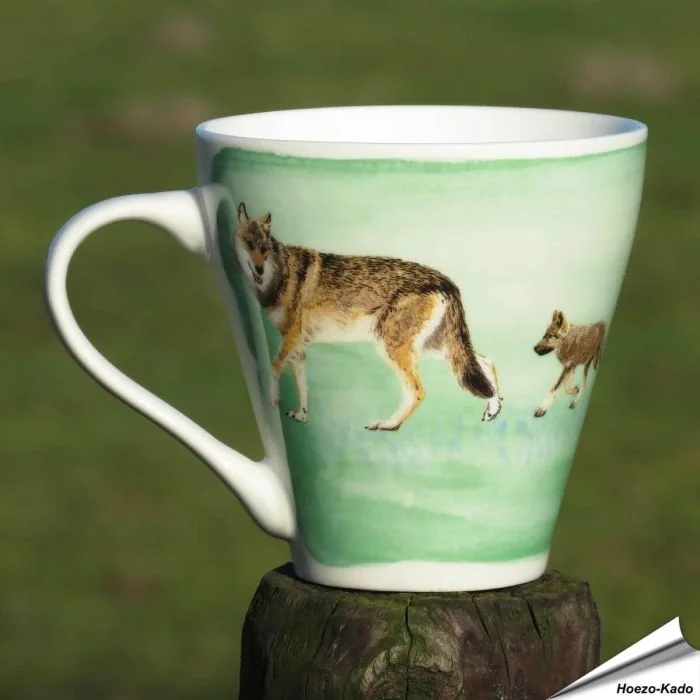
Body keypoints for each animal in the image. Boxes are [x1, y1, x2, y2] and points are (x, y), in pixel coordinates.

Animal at [233, 202, 503, 431]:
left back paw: (389, 425)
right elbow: (302, 385)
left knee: (418, 391)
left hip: (395, 349)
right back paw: (493, 408)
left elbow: (273, 365)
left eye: (264, 249)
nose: (259, 269)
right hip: (435, 349)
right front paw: (301, 416)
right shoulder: (298, 345)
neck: (278, 276)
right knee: (486, 362)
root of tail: (447, 282)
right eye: (249, 245)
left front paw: (273, 400)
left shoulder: (292, 337)